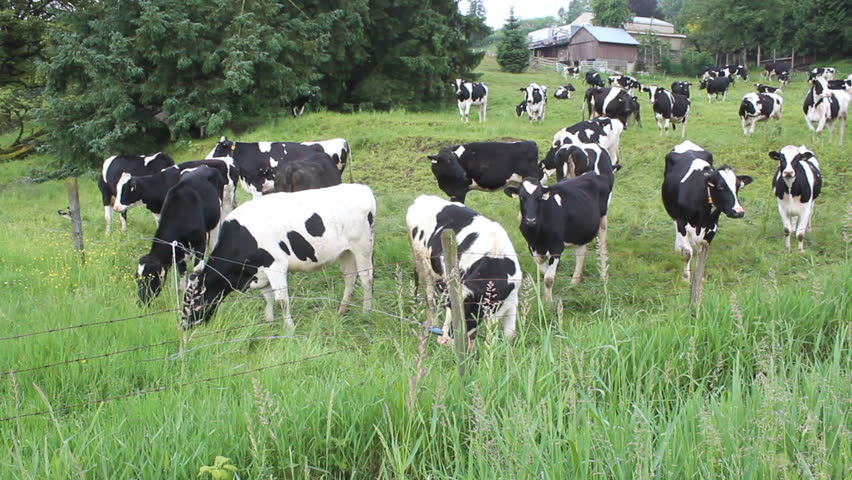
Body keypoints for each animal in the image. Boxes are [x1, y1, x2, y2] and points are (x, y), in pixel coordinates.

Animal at [135, 166, 226, 304]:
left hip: (216, 217)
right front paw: (182, 290)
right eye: (137, 278)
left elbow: (197, 270)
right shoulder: (178, 248)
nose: (141, 303)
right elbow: (182, 271)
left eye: (150, 277)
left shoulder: (200, 241)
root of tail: (205, 166)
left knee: (213, 242)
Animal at [181, 184, 374, 330]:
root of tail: (362, 188)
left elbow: (281, 300)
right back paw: (342, 310)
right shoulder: (260, 271)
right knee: (350, 277)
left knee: (366, 278)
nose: (183, 326)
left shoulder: (275, 265)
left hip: (362, 246)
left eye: (194, 302)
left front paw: (289, 329)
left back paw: (366, 312)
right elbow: (267, 298)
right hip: (346, 252)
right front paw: (269, 323)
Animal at [404, 195, 520, 342]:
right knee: (430, 297)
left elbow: (509, 334)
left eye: (467, 313)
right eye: (448, 308)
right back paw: (433, 324)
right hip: (420, 261)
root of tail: (422, 198)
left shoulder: (512, 301)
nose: (443, 340)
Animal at [502, 141, 616, 302]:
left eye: (539, 197)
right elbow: (544, 273)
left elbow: (549, 278)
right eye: (522, 197)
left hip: (602, 220)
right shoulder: (533, 248)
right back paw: (574, 282)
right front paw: (544, 298)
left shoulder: (556, 248)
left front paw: (549, 303)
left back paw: (603, 277)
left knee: (602, 248)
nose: (530, 220)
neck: (538, 233)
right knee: (581, 252)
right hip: (581, 228)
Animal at [660, 141, 752, 282]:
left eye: (738, 186)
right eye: (720, 186)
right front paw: (686, 277)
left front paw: (699, 277)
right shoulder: (681, 221)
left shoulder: (713, 225)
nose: (738, 211)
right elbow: (687, 252)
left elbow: (702, 252)